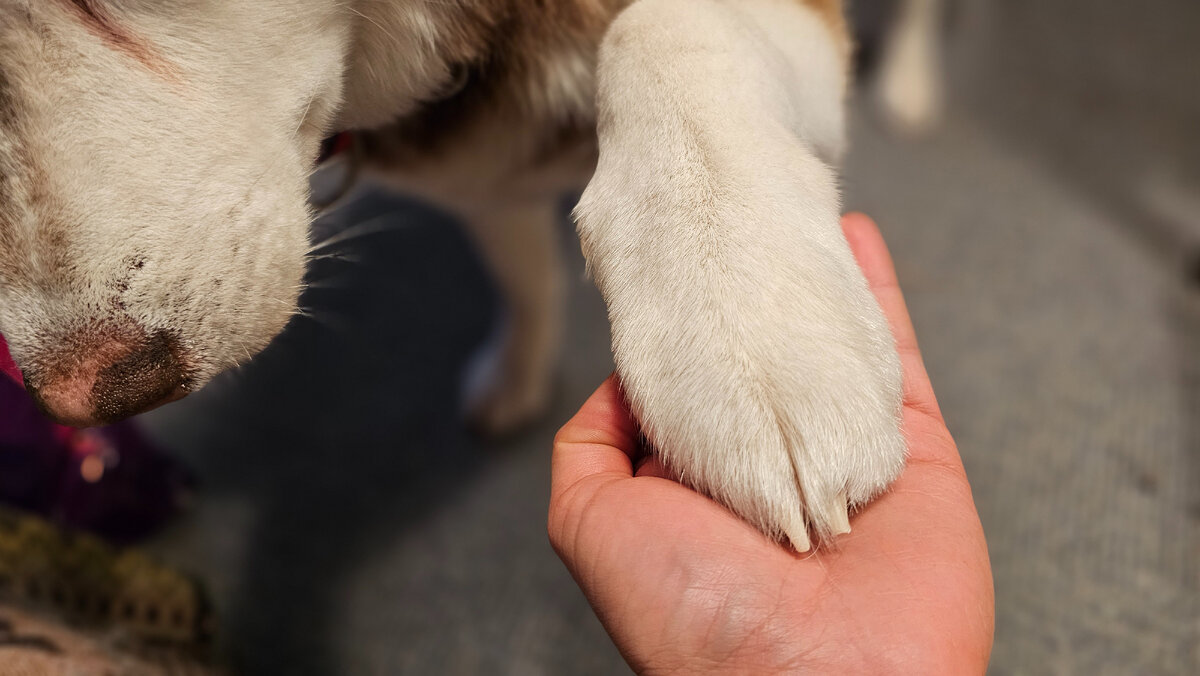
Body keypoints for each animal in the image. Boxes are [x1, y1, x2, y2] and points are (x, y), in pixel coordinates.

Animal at [0, 0, 902, 549]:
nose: (86, 397)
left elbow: (658, 31)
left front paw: (744, 318)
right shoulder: (479, 179)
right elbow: (525, 277)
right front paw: (520, 375)